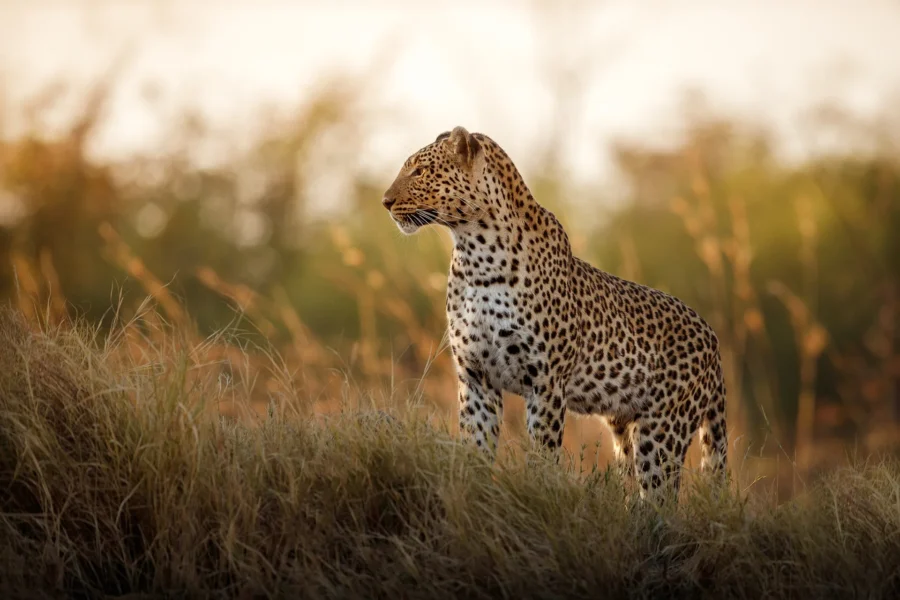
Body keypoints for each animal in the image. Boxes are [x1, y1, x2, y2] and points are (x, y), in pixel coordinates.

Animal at [382, 126, 727, 498]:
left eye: (419, 171)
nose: (385, 202)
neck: (475, 254)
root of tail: (712, 337)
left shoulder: (545, 382)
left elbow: (542, 455)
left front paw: (538, 493)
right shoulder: (476, 377)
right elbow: (476, 449)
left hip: (663, 430)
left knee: (661, 497)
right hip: (624, 428)